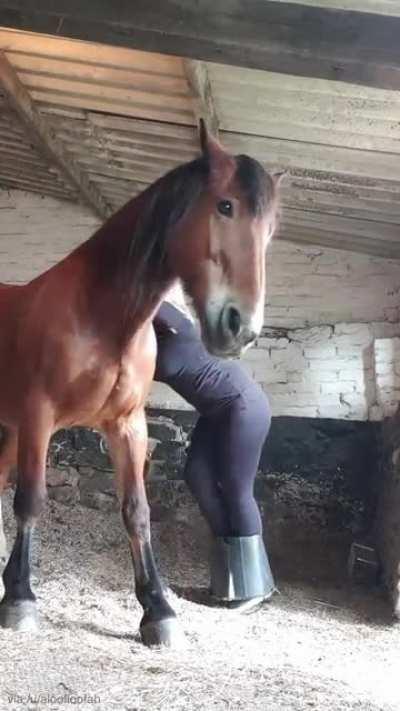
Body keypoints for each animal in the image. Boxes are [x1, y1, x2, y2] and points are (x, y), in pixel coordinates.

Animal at [0, 122, 282, 646]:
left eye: (270, 229)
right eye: (225, 206)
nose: (242, 327)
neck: (100, 316)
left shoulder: (127, 426)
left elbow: (137, 510)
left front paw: (158, 608)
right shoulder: (38, 418)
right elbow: (31, 499)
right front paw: (21, 599)